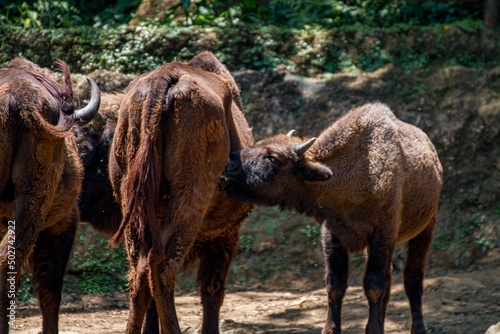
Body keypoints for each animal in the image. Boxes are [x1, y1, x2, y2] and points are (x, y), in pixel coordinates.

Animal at [107, 52, 252, 334]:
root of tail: (162, 80)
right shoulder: (227, 232)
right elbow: (212, 290)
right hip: (190, 196)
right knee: (161, 266)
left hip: (131, 204)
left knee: (140, 272)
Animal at [222, 101, 442, 334]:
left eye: (273, 158)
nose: (230, 160)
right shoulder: (333, 234)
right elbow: (335, 285)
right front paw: (331, 329)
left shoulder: (383, 234)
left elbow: (374, 285)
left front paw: (373, 329)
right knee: (391, 280)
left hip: (425, 228)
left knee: (413, 279)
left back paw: (418, 328)